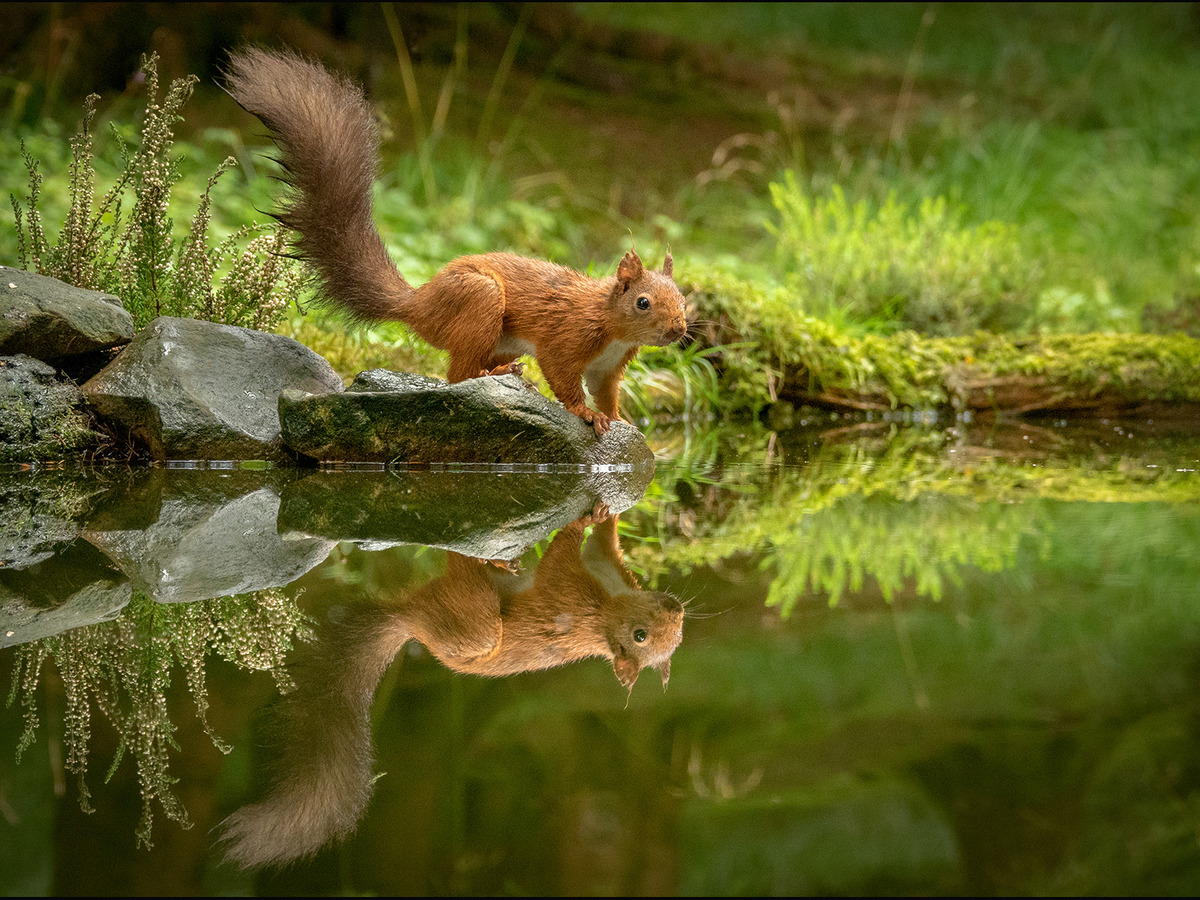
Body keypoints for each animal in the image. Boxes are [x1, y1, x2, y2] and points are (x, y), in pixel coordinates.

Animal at [225, 47, 691, 434]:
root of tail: (420, 304)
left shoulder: (608, 368)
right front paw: (586, 414)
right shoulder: (568, 336)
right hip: (479, 300)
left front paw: (620, 419)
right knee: (458, 375)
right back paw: (493, 377)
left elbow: (606, 392)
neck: (612, 326)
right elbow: (562, 377)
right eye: (643, 302)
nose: (677, 330)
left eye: (684, 300)